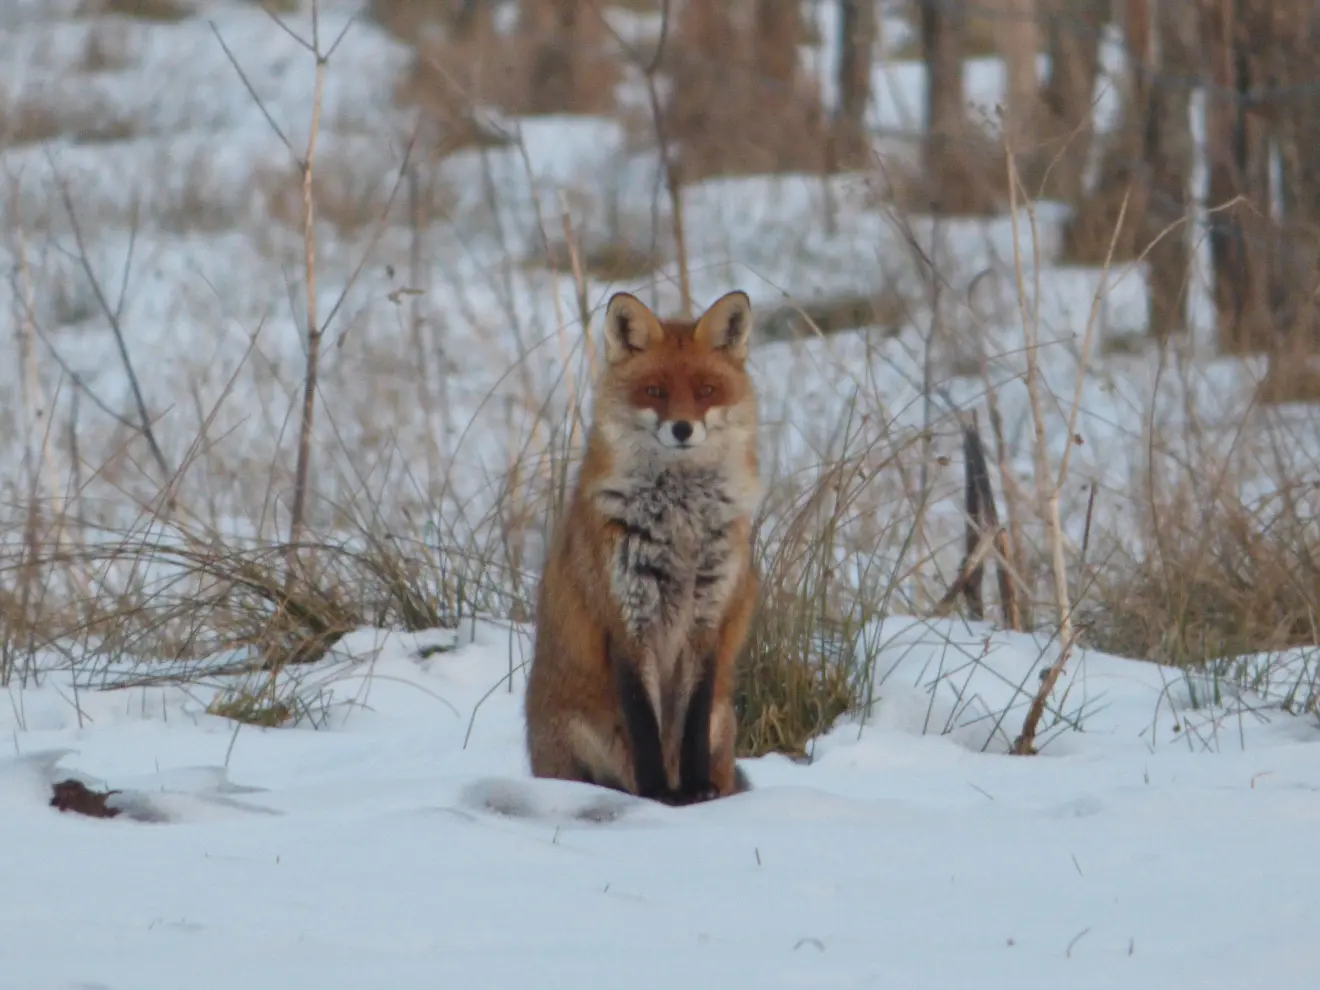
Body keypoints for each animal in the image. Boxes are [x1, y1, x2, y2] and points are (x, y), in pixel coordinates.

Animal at [520, 286, 760, 807]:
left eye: (706, 390)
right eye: (654, 391)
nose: (683, 429)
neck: (681, 523)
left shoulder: (707, 620)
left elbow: (689, 725)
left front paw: (694, 790)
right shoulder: (627, 619)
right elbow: (644, 724)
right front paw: (659, 795)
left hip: (724, 720)